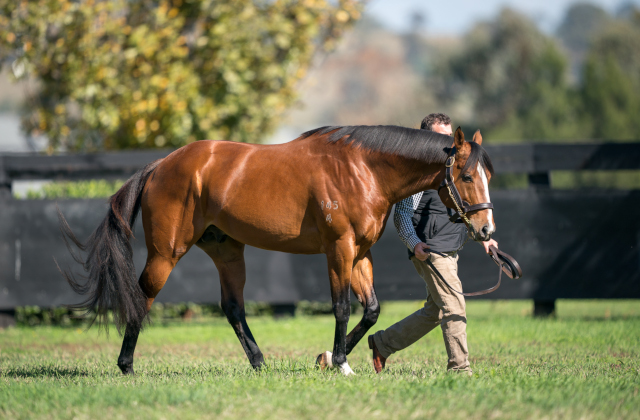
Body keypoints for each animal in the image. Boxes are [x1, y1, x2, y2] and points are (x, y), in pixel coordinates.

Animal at [58, 124, 496, 374]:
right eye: (467, 176)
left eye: (488, 176)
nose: (486, 229)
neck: (362, 169)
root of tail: (161, 165)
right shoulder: (339, 250)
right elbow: (342, 307)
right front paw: (339, 363)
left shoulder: (360, 253)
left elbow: (371, 310)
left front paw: (332, 358)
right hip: (167, 252)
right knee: (143, 296)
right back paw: (126, 366)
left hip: (227, 252)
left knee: (233, 308)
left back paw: (258, 362)